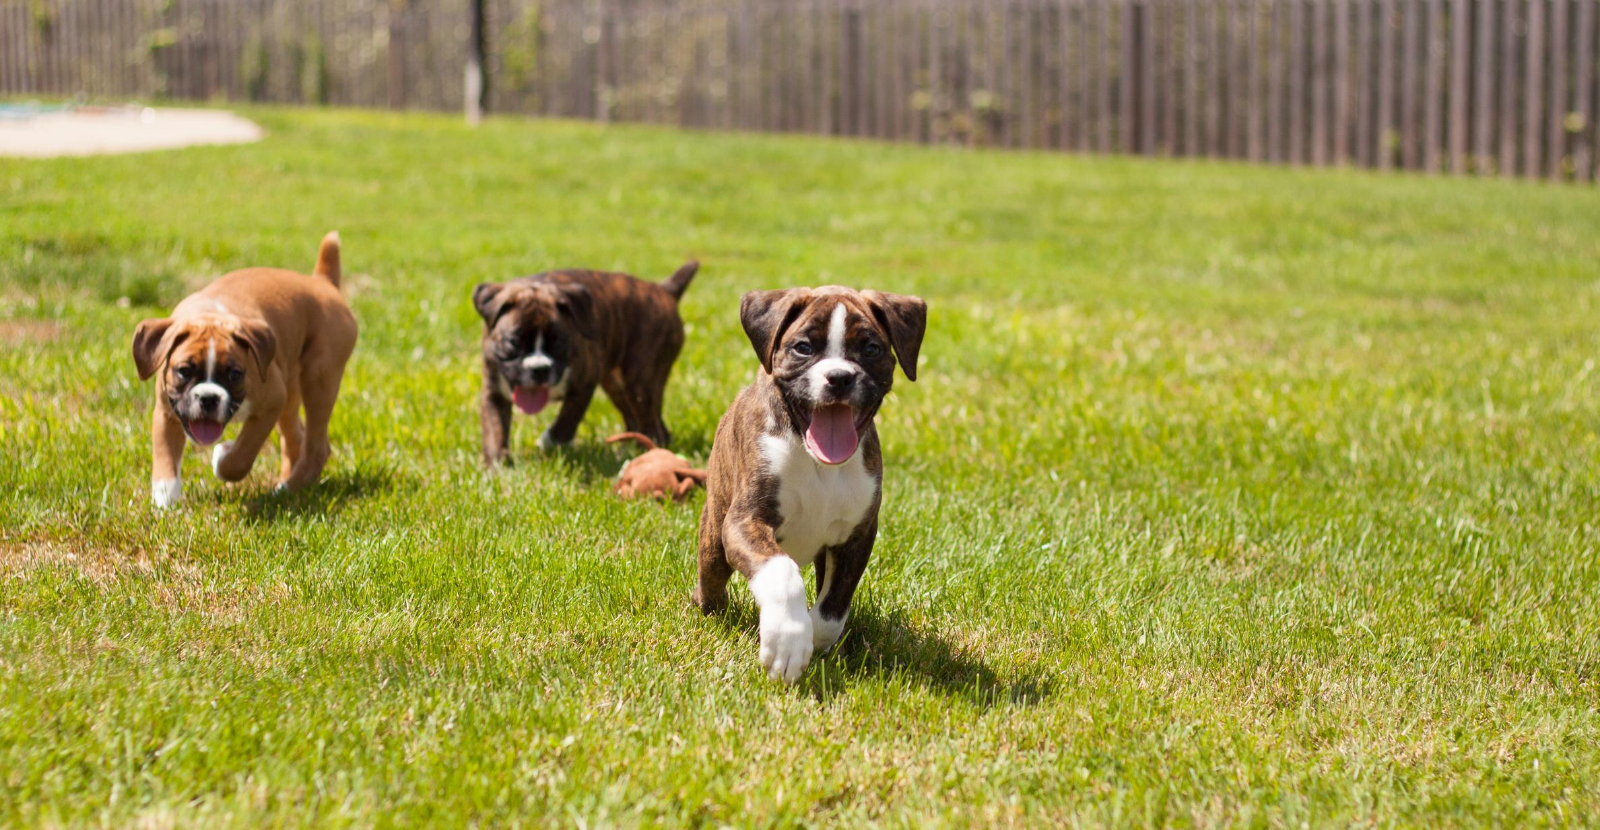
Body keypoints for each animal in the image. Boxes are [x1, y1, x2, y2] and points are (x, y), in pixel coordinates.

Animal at [129, 230, 361, 508]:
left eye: (234, 374)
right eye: (184, 371)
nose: (208, 398)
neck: (209, 315)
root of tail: (322, 283)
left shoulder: (271, 403)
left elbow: (241, 456)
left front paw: (222, 454)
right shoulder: (166, 410)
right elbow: (165, 455)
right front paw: (165, 499)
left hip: (319, 380)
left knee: (316, 447)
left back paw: (287, 488)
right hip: (291, 390)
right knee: (295, 438)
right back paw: (287, 485)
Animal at [473, 263, 700, 463]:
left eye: (558, 342)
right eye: (513, 342)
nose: (539, 368)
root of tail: (663, 290)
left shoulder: (584, 384)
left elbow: (568, 418)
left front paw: (550, 442)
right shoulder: (493, 393)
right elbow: (495, 431)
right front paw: (498, 468)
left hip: (640, 382)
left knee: (651, 424)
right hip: (617, 385)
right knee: (640, 419)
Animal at [691, 284, 928, 681]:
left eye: (871, 349)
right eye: (803, 347)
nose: (840, 377)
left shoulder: (857, 536)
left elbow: (834, 606)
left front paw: (815, 638)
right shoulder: (745, 522)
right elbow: (782, 572)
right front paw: (787, 639)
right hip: (714, 538)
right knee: (711, 581)